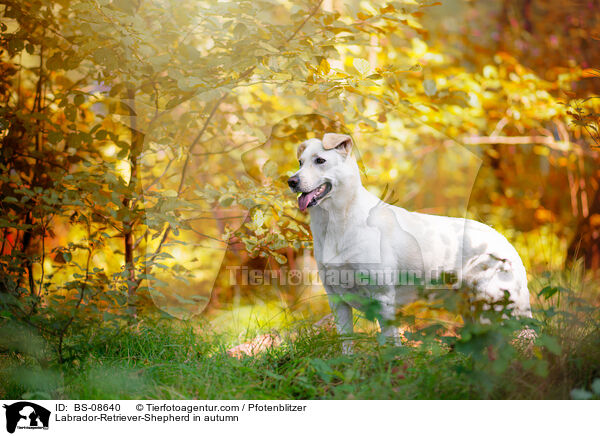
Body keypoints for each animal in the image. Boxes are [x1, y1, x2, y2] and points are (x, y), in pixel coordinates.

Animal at [288, 133, 532, 350]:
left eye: (320, 160)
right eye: (300, 162)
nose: (291, 181)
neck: (338, 223)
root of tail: (505, 241)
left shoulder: (383, 299)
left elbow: (390, 345)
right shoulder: (337, 300)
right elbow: (346, 345)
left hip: (499, 306)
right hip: (473, 309)